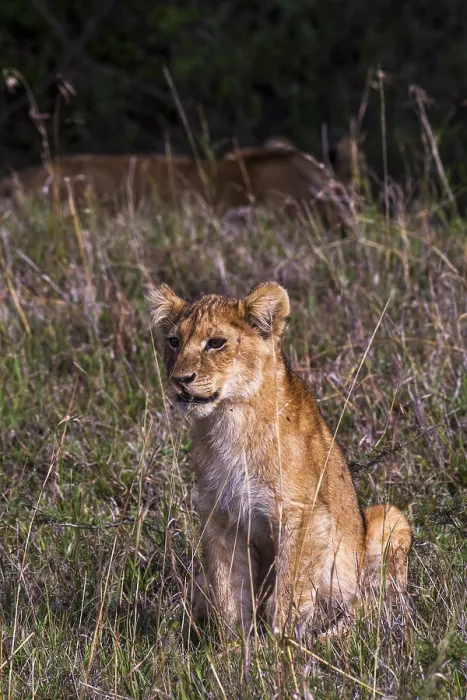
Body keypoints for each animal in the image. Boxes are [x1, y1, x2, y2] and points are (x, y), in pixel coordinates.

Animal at [148, 281, 411, 639]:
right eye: (174, 341)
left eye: (216, 343)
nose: (179, 380)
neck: (230, 421)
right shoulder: (221, 517)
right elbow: (228, 590)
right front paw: (235, 646)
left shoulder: (304, 515)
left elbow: (288, 591)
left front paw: (278, 646)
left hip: (390, 519)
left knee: (367, 609)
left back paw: (327, 638)